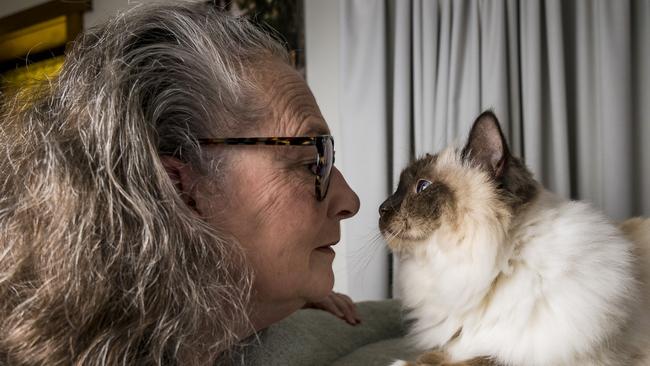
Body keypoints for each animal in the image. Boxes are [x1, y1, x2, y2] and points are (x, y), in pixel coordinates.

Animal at [380, 112, 648, 366]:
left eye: (423, 187)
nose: (381, 209)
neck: (500, 265)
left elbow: (480, 360)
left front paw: (401, 363)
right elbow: (443, 353)